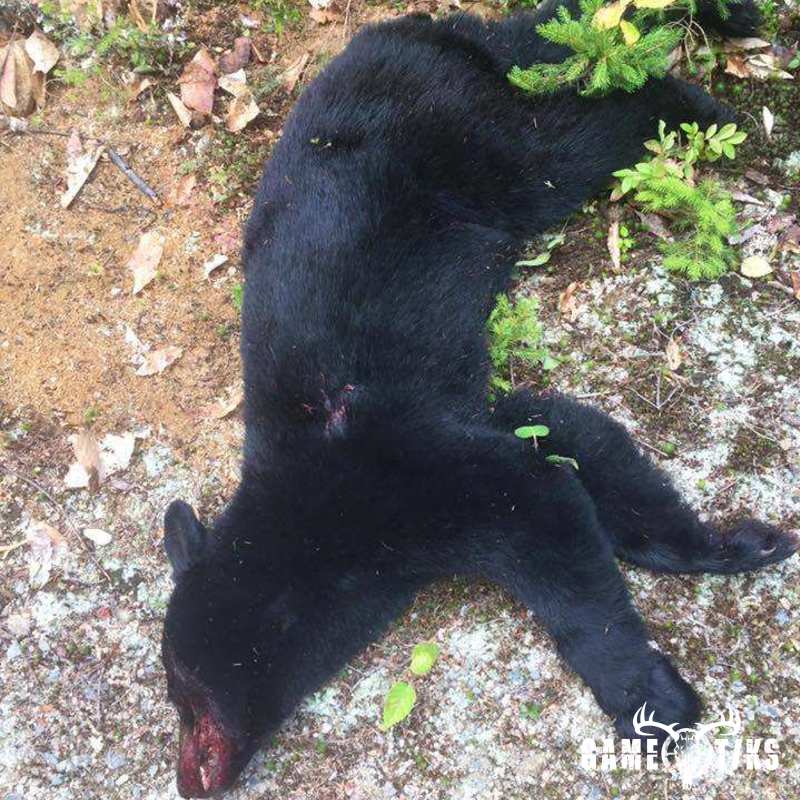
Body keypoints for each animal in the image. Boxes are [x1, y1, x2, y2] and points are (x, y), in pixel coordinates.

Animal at [160, 2, 797, 796]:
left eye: (179, 687)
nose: (188, 776)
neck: (310, 528)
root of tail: (429, 27)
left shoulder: (390, 469)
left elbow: (538, 509)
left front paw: (649, 699)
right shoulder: (469, 428)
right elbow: (567, 438)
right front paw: (736, 543)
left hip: (478, 139)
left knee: (580, 126)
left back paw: (700, 104)